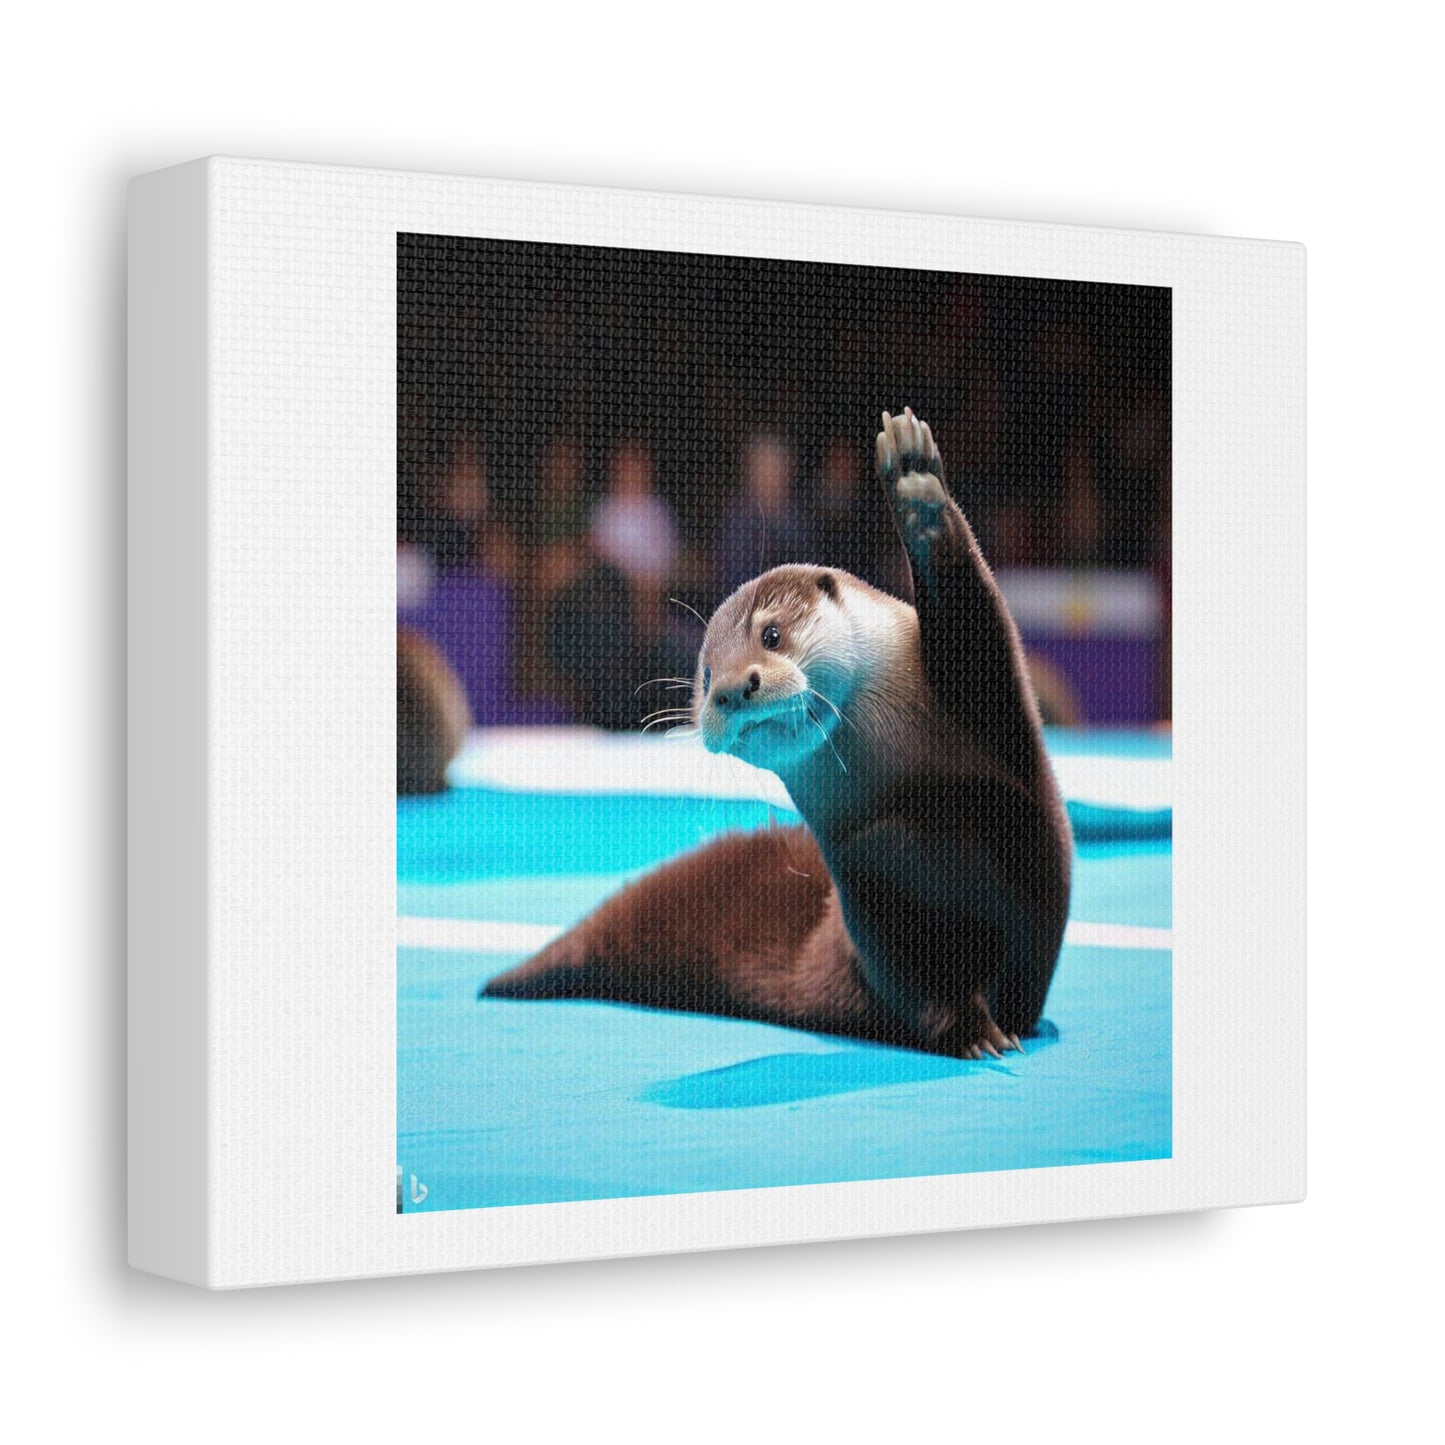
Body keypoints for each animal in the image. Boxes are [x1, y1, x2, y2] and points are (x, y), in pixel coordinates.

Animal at [483, 410, 1073, 1058]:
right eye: (704, 674)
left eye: (770, 635)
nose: (730, 689)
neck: (910, 795)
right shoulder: (864, 886)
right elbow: (915, 981)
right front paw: (972, 1032)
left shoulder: (1009, 767)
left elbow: (984, 639)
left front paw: (918, 492)